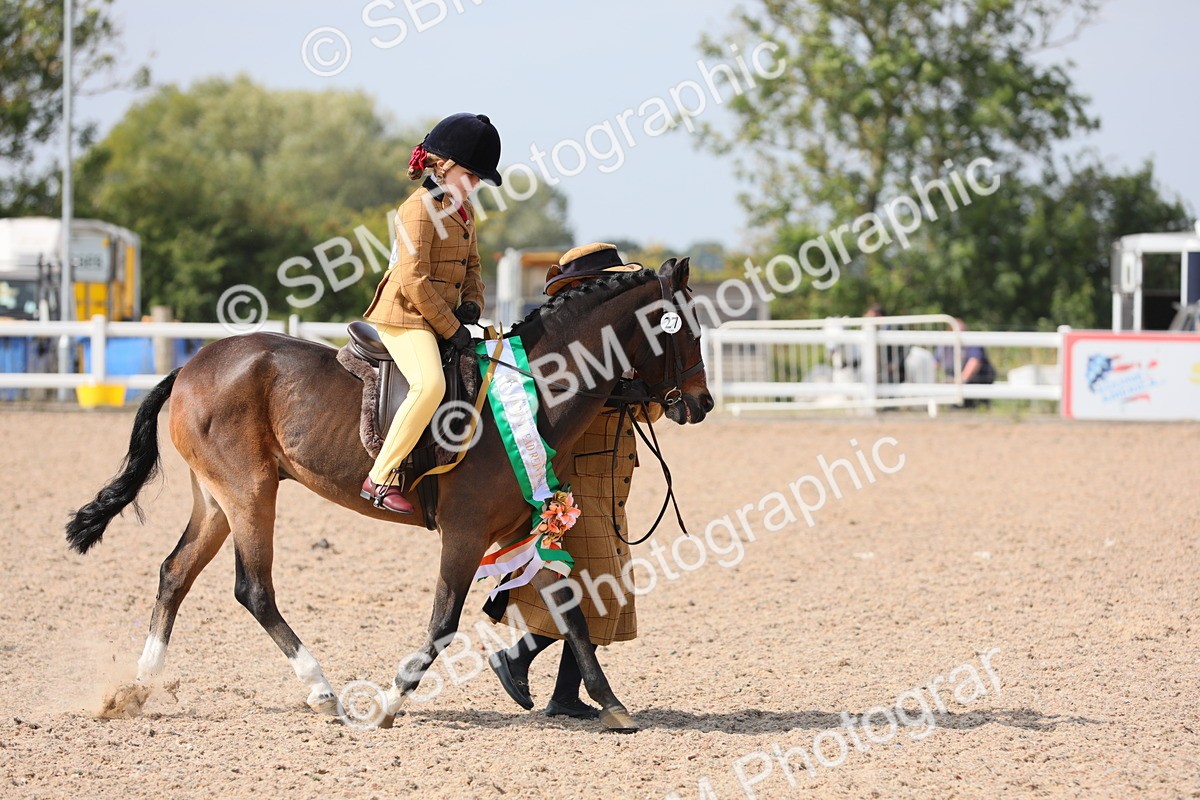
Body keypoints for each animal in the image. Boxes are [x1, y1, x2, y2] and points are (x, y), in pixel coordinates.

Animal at [66, 259, 712, 731]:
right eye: (681, 331)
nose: (701, 404)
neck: (531, 391)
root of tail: (194, 363)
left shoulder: (526, 525)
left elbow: (572, 611)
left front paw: (611, 705)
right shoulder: (466, 533)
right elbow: (444, 621)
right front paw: (389, 703)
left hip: (217, 500)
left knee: (174, 573)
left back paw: (139, 688)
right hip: (249, 493)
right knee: (253, 590)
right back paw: (323, 692)